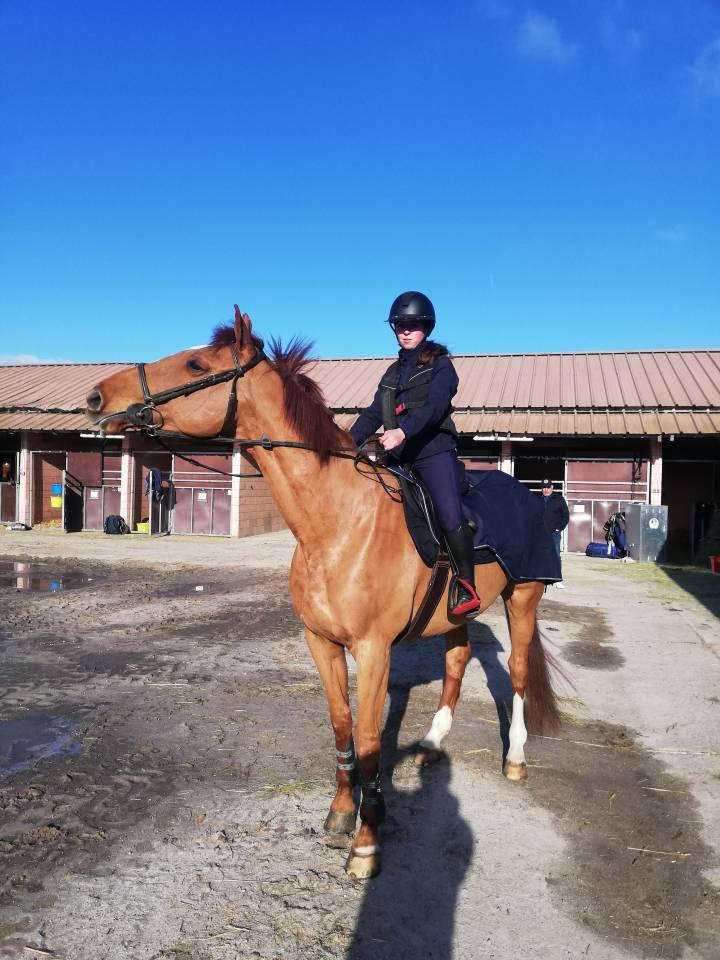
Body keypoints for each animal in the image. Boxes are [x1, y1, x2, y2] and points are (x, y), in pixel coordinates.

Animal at [86, 306, 560, 879]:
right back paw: (430, 743)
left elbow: (372, 739)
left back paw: (515, 758)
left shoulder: (373, 651)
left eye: (195, 363)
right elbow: (341, 726)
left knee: (516, 673)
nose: (96, 399)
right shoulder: (320, 642)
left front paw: (367, 842)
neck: (336, 523)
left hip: (523, 599)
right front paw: (340, 813)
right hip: (455, 614)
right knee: (457, 658)